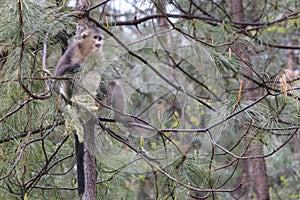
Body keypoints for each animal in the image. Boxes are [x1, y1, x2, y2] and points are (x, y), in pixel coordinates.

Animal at [54, 24, 103, 195]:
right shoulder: (73, 50)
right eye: (95, 38)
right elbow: (59, 73)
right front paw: (76, 66)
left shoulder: (96, 56)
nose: (100, 42)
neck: (86, 52)